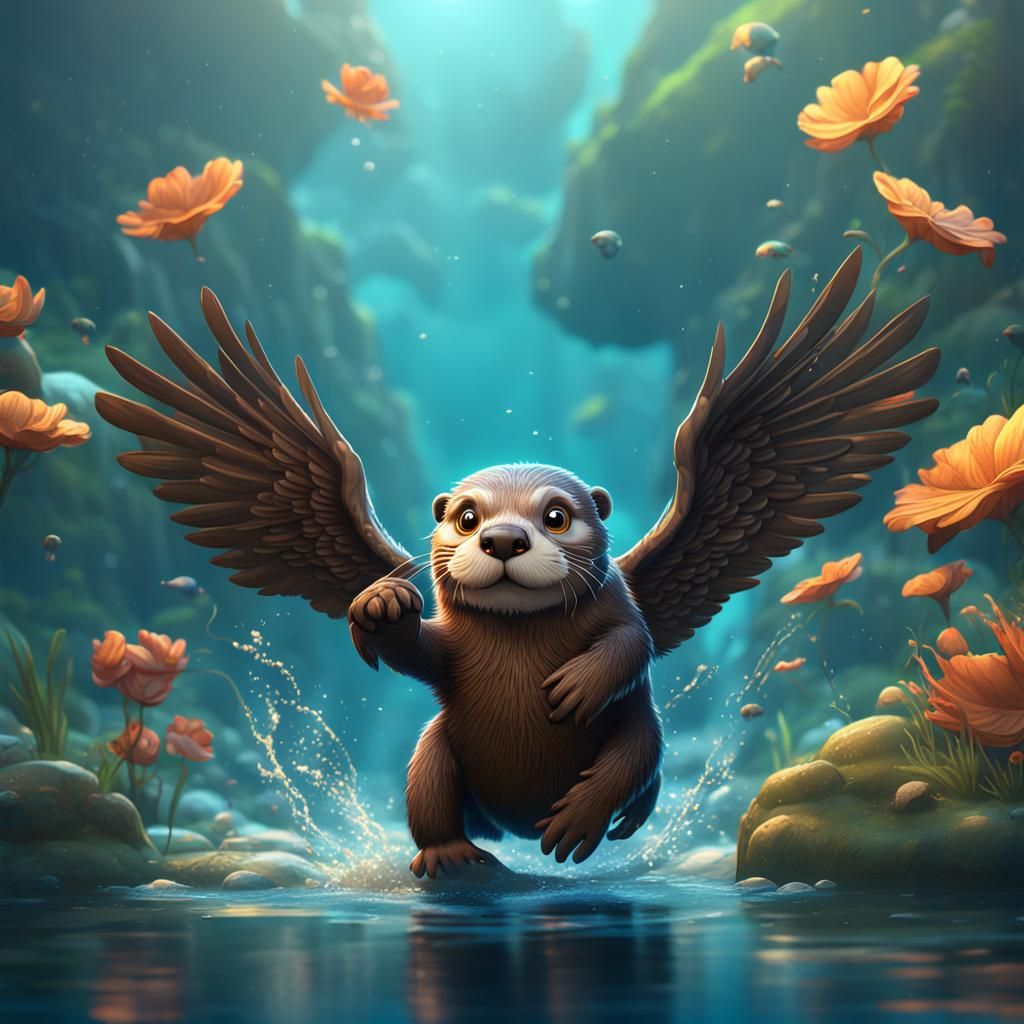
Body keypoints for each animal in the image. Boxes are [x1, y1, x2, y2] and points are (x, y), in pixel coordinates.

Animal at [95, 248, 938, 876]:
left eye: (556, 515)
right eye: (467, 516)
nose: (502, 540)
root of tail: (508, 825)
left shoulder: (625, 610)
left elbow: (632, 641)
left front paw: (573, 685)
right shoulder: (452, 652)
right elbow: (418, 652)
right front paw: (381, 604)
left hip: (637, 735)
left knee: (637, 761)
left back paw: (587, 826)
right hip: (437, 756)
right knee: (430, 786)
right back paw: (454, 857)